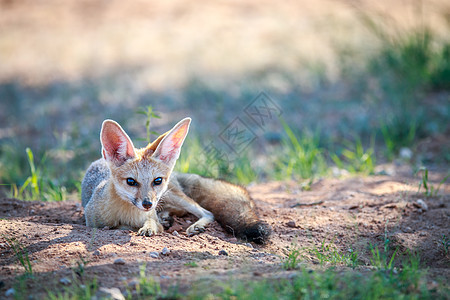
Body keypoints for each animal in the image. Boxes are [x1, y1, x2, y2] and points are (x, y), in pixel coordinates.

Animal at [81, 117, 270, 244]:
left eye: (157, 180)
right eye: (131, 181)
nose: (147, 204)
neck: (128, 214)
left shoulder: (151, 213)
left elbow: (151, 223)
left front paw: (149, 227)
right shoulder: (92, 222)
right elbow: (117, 226)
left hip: (174, 196)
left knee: (208, 213)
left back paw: (193, 225)